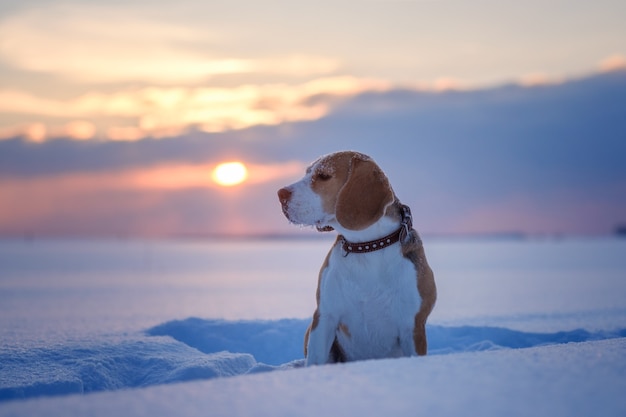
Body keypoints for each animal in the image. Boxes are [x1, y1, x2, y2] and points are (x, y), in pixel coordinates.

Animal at [276, 150, 436, 364]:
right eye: (307, 172)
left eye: (324, 175)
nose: (280, 194)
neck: (366, 247)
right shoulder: (324, 317)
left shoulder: (413, 326)